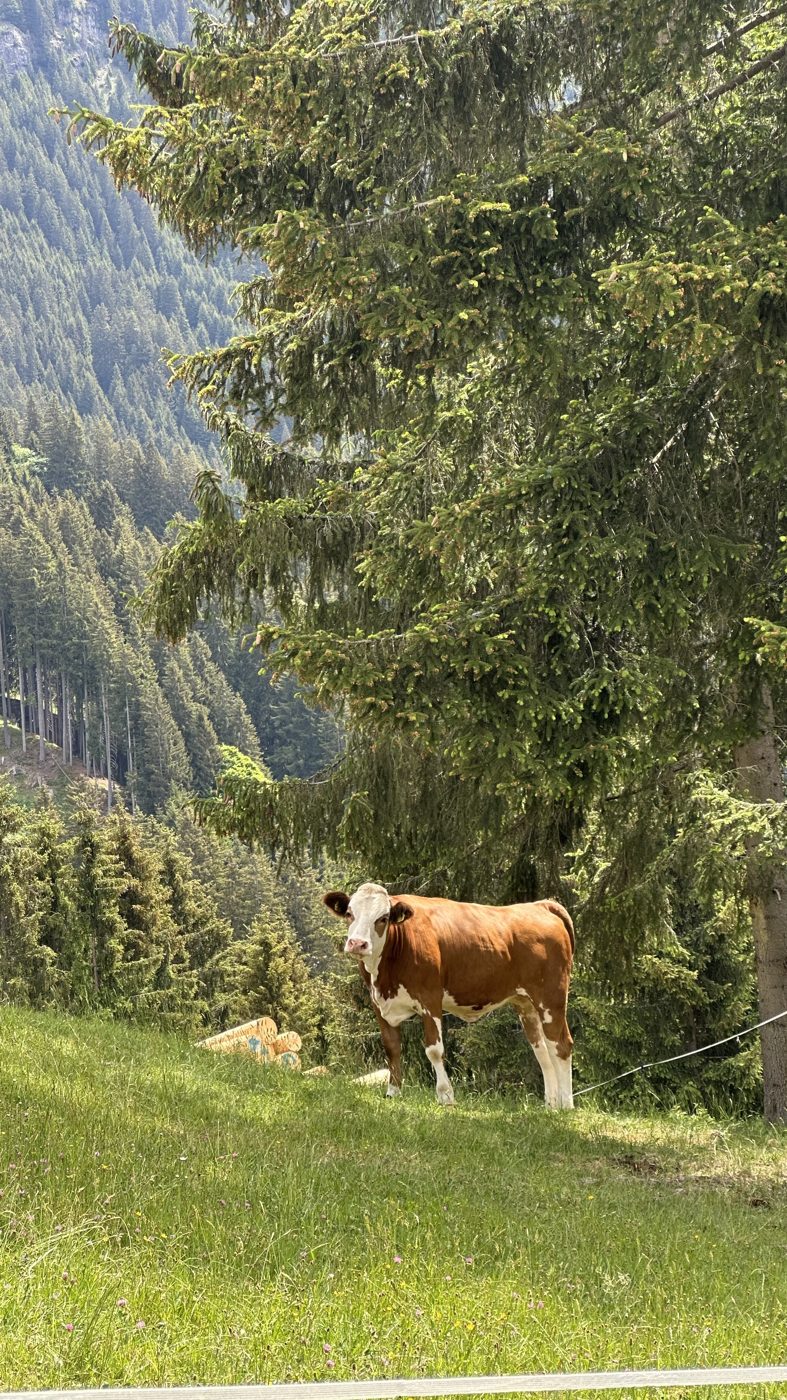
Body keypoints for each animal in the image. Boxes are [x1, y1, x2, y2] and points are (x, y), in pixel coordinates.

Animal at [324, 882, 574, 1109]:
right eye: (349, 914)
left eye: (383, 918)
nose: (357, 943)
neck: (385, 975)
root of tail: (539, 905)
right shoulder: (379, 1004)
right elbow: (392, 1047)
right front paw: (392, 1093)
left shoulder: (430, 998)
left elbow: (434, 1050)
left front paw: (446, 1096)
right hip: (526, 1003)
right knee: (542, 1050)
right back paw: (550, 1105)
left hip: (551, 996)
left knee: (561, 1045)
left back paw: (566, 1105)